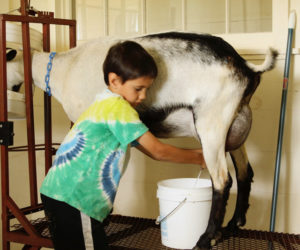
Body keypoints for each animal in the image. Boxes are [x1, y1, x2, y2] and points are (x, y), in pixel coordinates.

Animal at [5, 32, 276, 249]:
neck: (65, 68)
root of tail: (245, 66)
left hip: (212, 124)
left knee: (222, 180)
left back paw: (206, 238)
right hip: (234, 128)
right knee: (245, 172)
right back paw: (233, 224)